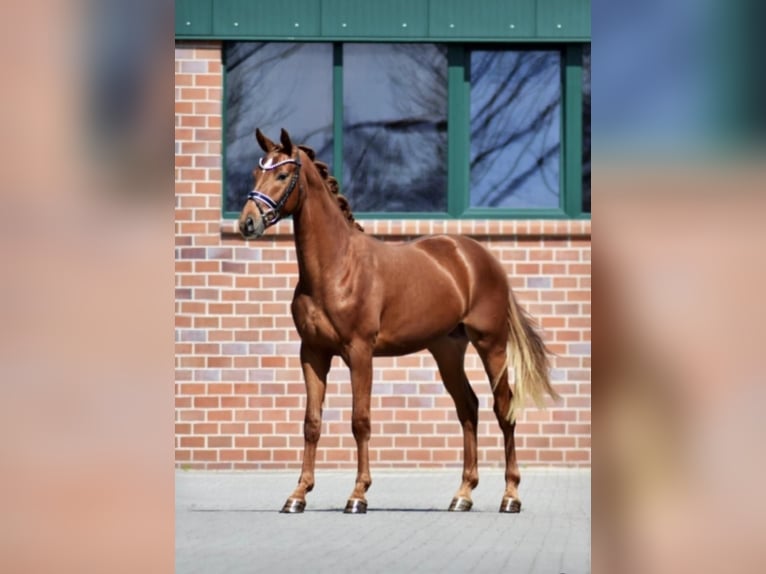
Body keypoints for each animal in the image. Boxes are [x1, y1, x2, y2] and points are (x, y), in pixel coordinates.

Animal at [237, 130, 560, 516]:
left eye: (283, 175)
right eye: (256, 174)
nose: (247, 223)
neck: (336, 268)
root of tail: (480, 258)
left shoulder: (360, 352)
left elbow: (360, 421)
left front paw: (358, 495)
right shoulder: (312, 353)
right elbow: (311, 423)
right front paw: (297, 495)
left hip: (491, 345)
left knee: (503, 407)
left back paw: (510, 496)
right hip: (447, 350)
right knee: (468, 407)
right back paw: (462, 495)